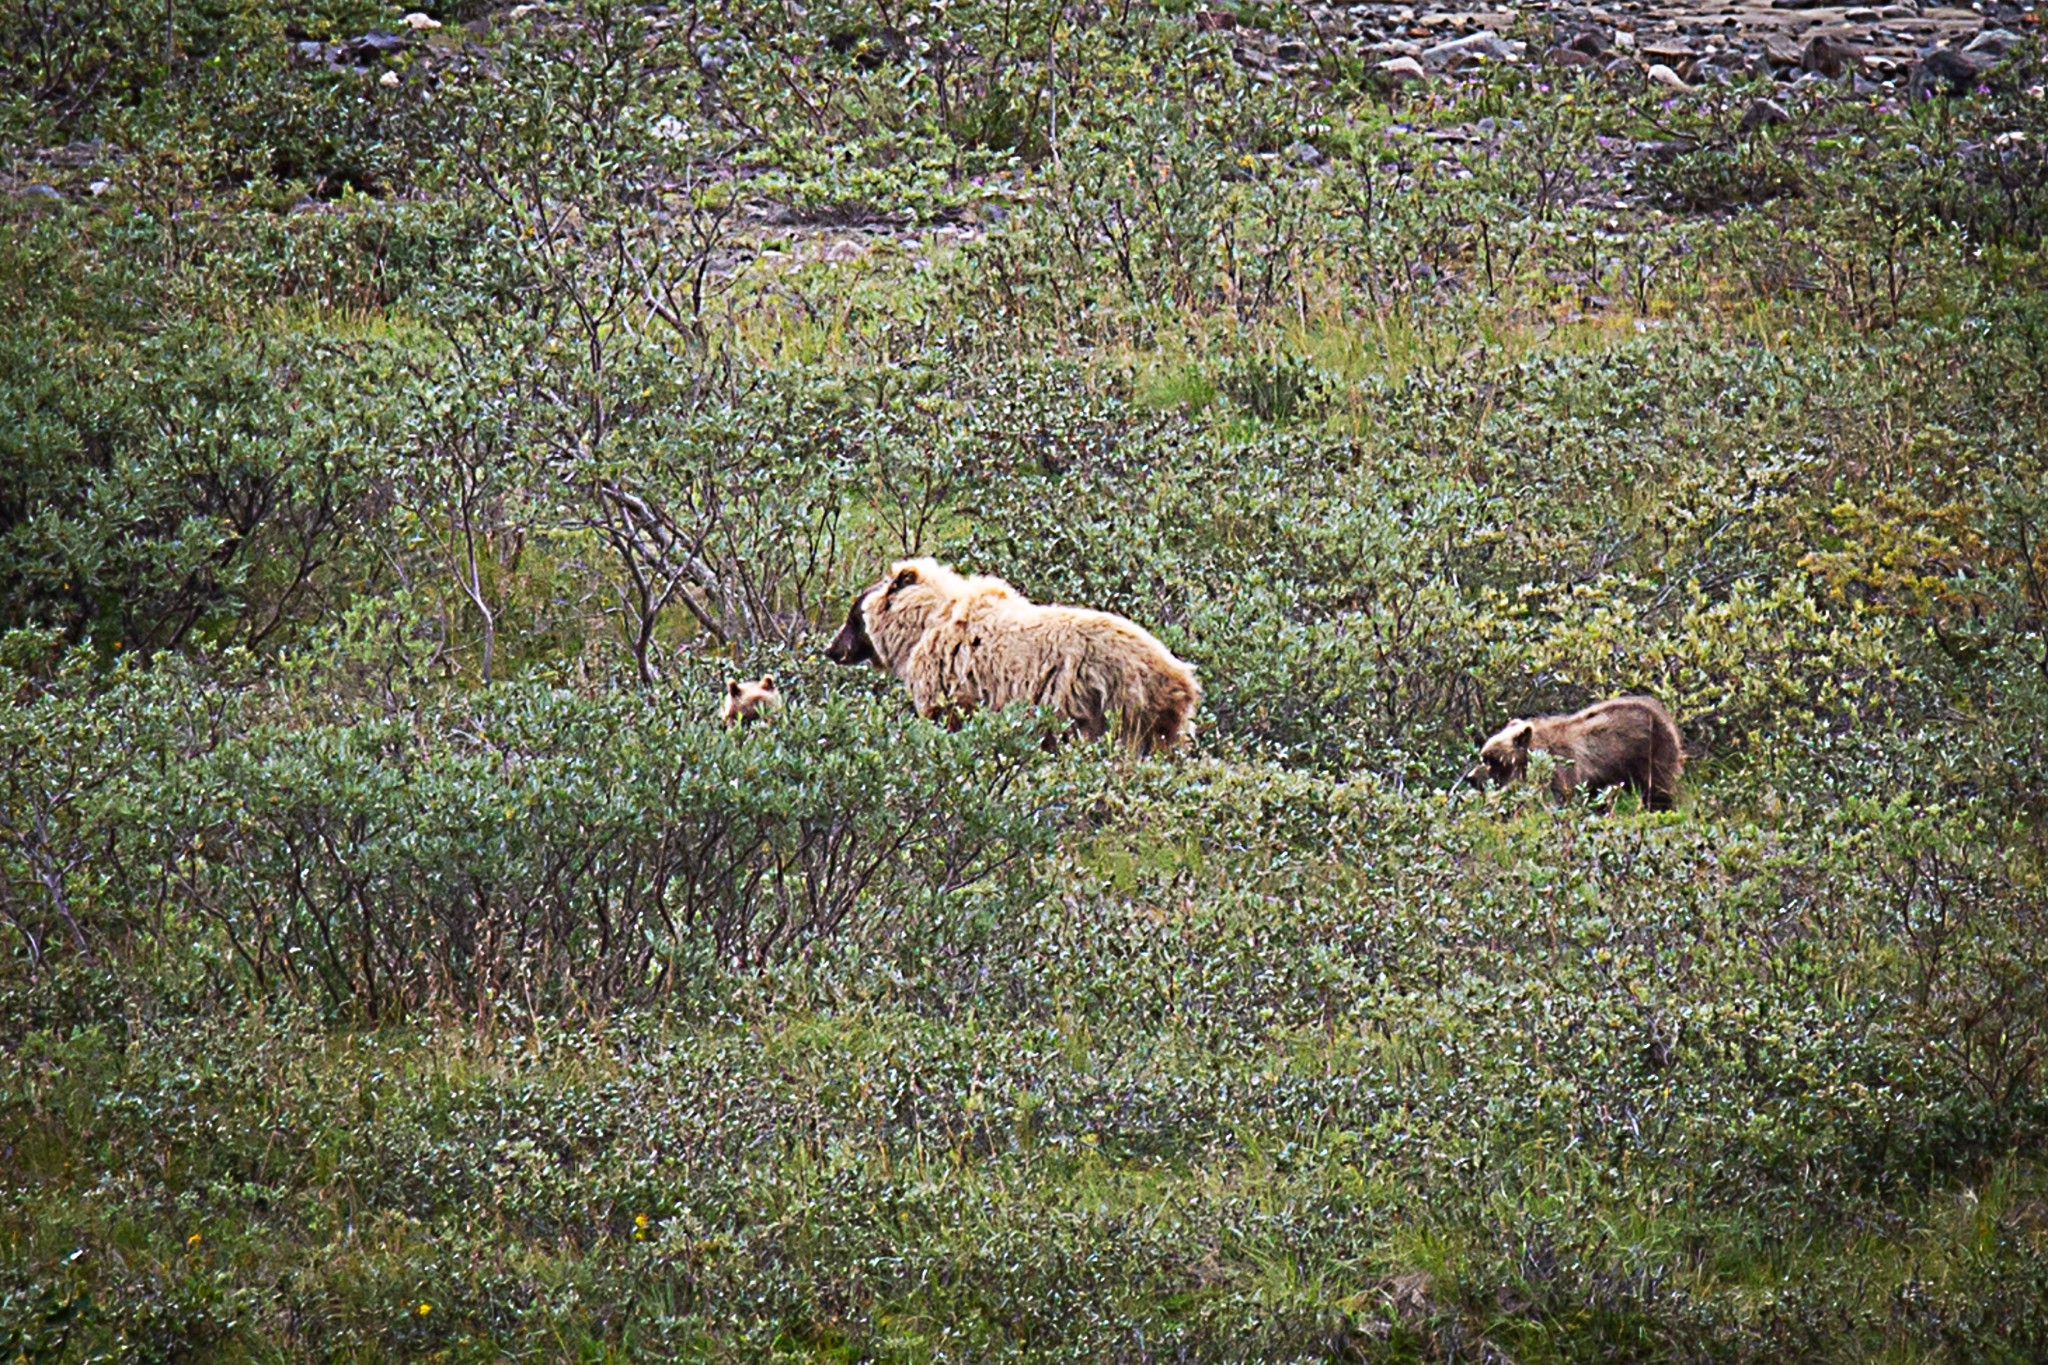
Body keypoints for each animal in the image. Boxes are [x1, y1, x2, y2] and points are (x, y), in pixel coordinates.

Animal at [819, 560, 1196, 765]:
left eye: (853, 614)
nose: (831, 649)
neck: (923, 627)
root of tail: (1182, 677)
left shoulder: (951, 681)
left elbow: (947, 720)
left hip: (1107, 703)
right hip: (1159, 722)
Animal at [1466, 695, 1687, 810]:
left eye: (1491, 759)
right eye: (1484, 755)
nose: (1471, 777)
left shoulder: (1563, 768)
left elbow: (1561, 797)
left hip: (1651, 754)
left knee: (1657, 790)